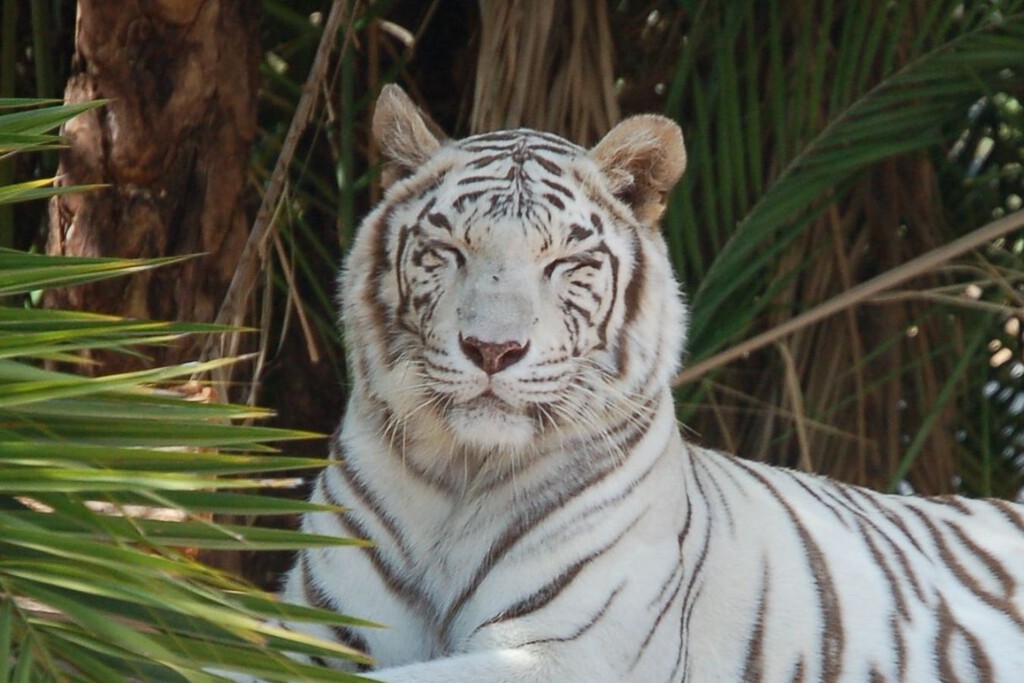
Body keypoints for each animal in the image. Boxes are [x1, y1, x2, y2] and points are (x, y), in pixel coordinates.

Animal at [252, 85, 1024, 682]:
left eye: (561, 262)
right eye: (450, 250)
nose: (493, 350)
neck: (461, 475)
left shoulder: (564, 652)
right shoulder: (320, 625)